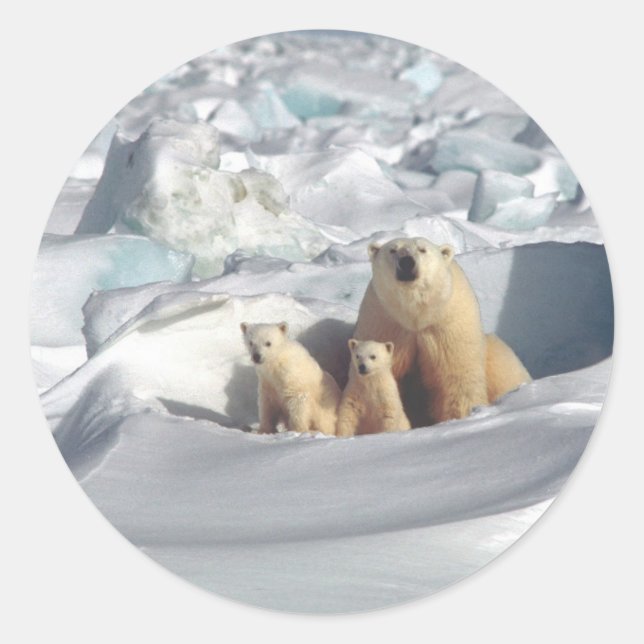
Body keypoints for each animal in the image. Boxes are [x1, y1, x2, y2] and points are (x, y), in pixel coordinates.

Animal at [353, 236, 531, 426]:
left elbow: (456, 376)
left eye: (422, 249)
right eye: (393, 250)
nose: (407, 262)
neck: (415, 315)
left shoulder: (447, 325)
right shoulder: (385, 323)